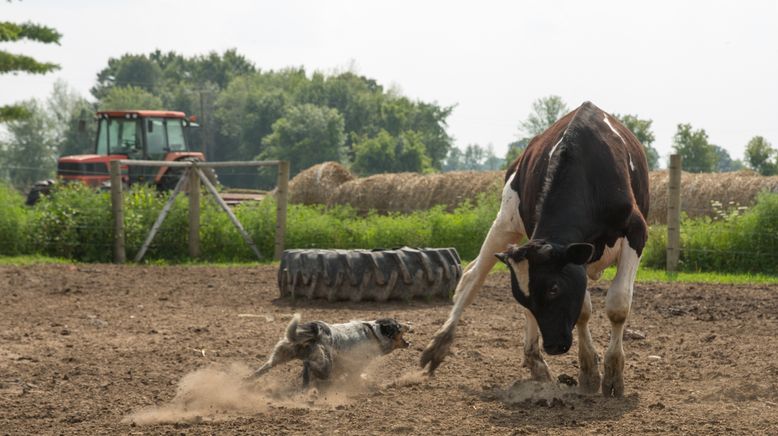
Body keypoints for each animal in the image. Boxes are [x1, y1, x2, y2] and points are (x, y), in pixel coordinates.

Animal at [247, 314, 412, 388]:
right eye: (398, 325)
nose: (410, 323)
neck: (375, 334)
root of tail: (317, 330)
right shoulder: (356, 365)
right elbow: (355, 377)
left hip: (281, 354)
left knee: (264, 368)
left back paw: (245, 382)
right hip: (325, 364)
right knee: (309, 365)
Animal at [422, 102, 644, 398]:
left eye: (554, 289)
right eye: (521, 297)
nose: (553, 346)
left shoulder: (635, 231)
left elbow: (617, 305)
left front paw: (612, 375)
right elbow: (582, 311)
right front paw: (588, 371)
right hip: (506, 221)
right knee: (472, 277)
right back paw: (443, 344)